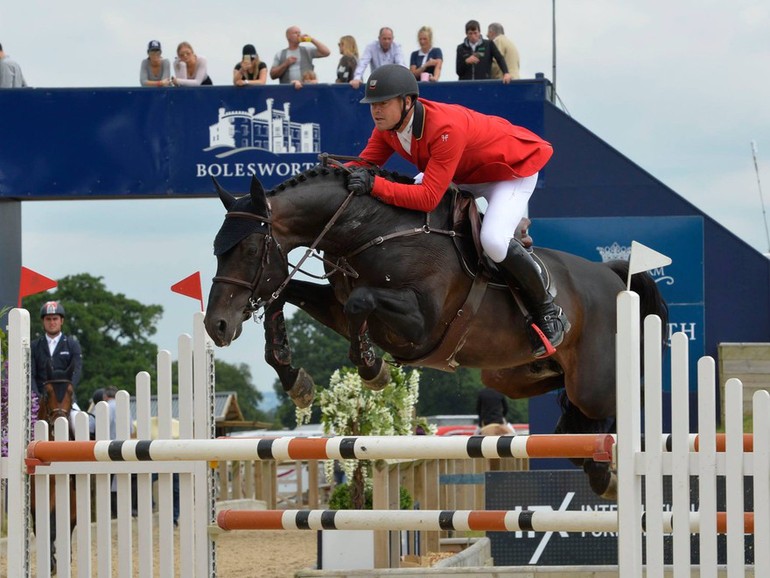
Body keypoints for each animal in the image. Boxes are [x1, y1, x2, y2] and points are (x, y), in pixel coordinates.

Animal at [204, 165, 664, 496]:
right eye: (216, 249)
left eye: (249, 248)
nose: (217, 325)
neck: (371, 232)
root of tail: (610, 274)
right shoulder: (337, 306)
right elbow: (286, 294)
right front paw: (295, 379)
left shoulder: (420, 323)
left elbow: (360, 302)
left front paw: (372, 369)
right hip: (514, 377)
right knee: (570, 424)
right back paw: (594, 465)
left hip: (593, 382)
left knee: (610, 410)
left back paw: (606, 469)